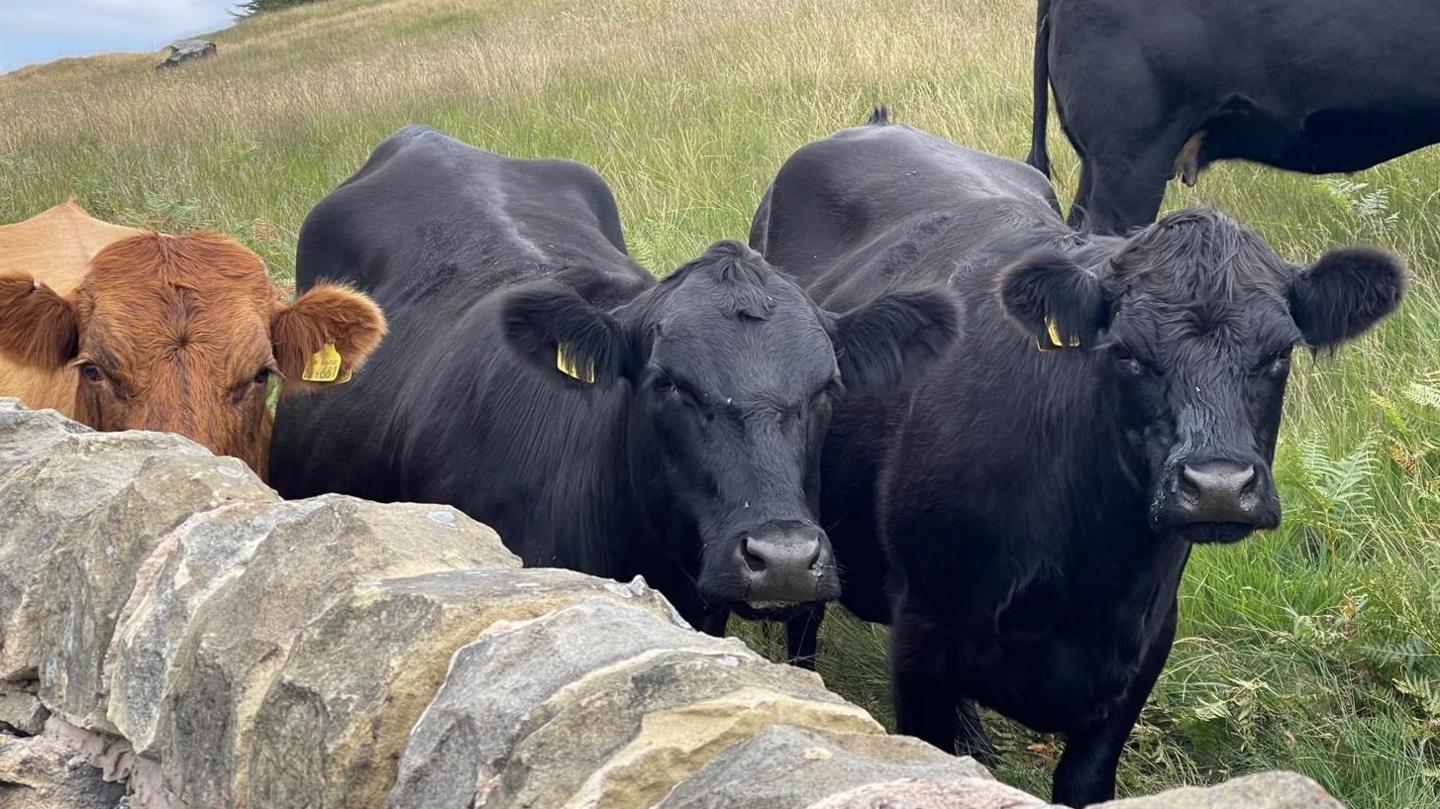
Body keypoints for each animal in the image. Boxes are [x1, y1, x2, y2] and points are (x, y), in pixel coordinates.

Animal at [751, 109, 1405, 806]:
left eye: (1279, 353)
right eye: (1126, 352)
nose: (1219, 486)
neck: (1089, 565)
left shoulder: (1145, 643)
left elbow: (1084, 779)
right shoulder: (924, 624)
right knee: (803, 627)